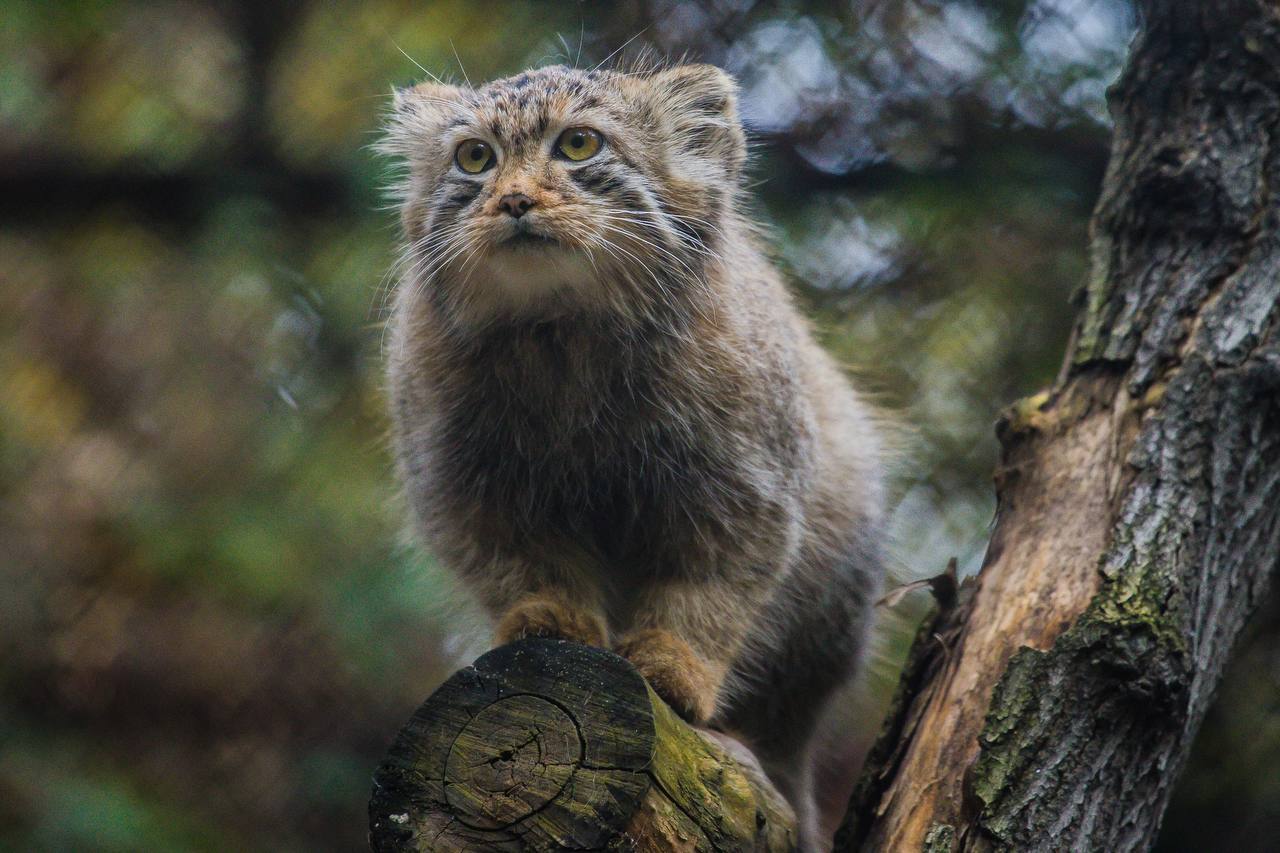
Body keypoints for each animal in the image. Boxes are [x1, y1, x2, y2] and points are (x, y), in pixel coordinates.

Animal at [376, 61, 880, 845]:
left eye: (579, 144)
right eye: (475, 157)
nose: (514, 199)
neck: (566, 337)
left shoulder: (748, 481)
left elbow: (714, 585)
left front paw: (678, 664)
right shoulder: (465, 489)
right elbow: (522, 564)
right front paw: (548, 615)